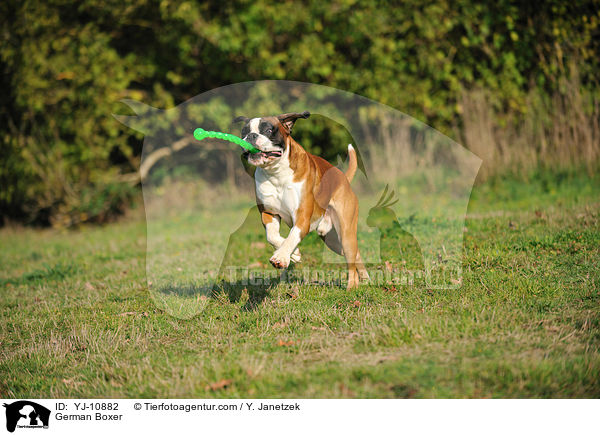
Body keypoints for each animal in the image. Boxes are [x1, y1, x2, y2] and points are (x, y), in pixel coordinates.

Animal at [234, 112, 370, 290]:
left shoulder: (302, 218)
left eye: (269, 130)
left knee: (351, 258)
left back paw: (352, 286)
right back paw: (365, 278)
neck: (277, 173)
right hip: (333, 240)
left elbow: (292, 236)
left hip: (345, 232)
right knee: (356, 253)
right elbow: (272, 236)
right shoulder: (268, 213)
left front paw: (281, 257)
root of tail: (343, 178)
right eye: (244, 131)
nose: (251, 136)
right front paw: (294, 254)